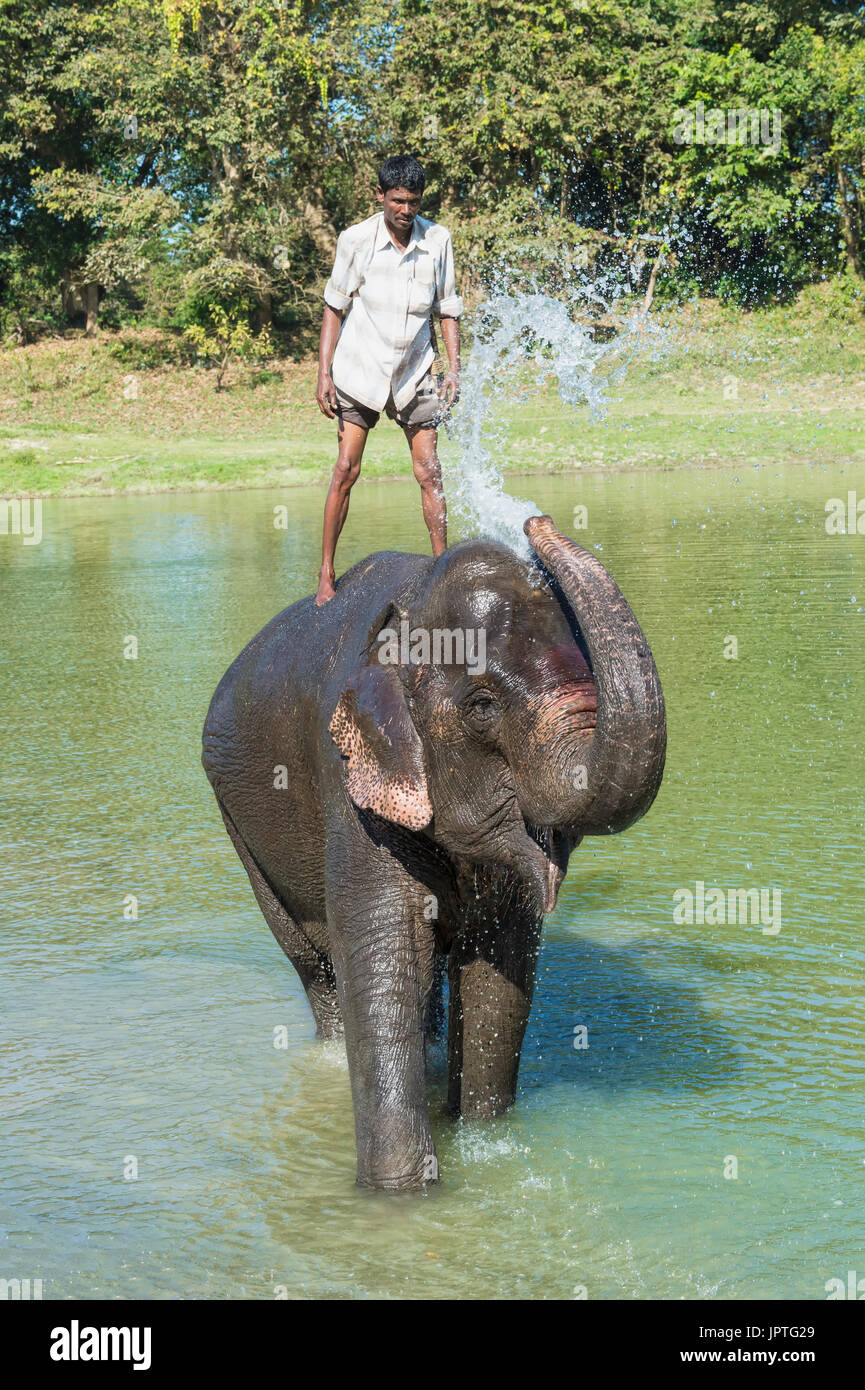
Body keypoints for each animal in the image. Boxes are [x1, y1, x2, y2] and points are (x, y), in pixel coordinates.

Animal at [203, 517, 670, 1189]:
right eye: (482, 706)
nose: (537, 522)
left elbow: (498, 972)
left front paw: (485, 1145)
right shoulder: (351, 788)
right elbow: (385, 962)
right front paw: (398, 1197)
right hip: (238, 824)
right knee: (316, 969)